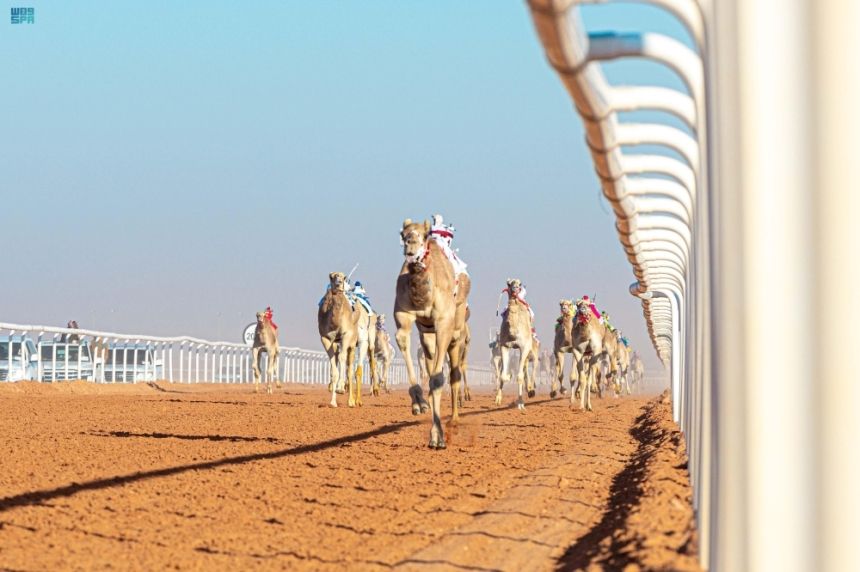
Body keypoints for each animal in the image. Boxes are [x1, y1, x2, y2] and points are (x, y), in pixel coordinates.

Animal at [318, 272, 358, 406]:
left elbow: (342, 358)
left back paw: (351, 401)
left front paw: (341, 388)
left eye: (343, 277)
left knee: (349, 369)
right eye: (332, 276)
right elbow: (333, 367)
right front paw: (333, 402)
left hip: (352, 344)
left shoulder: (346, 335)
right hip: (336, 343)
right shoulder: (325, 338)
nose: (339, 284)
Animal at [394, 217, 470, 450]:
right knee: (431, 360)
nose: (411, 247)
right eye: (403, 234)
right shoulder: (405, 317)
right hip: (427, 335)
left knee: (454, 373)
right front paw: (419, 402)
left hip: (457, 333)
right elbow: (402, 340)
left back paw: (454, 418)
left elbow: (438, 379)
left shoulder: (444, 323)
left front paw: (437, 437)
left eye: (424, 235)